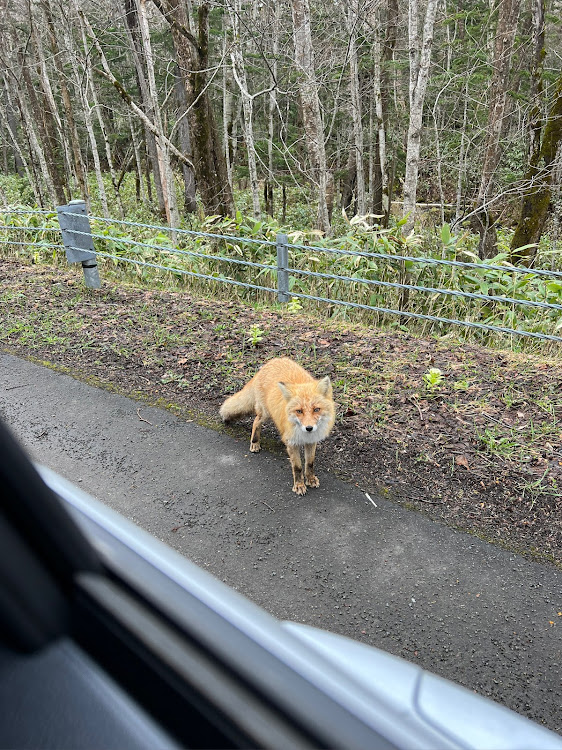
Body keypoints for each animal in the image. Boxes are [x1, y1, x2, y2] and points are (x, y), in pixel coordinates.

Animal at [218, 360, 332, 496]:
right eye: (299, 411)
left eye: (316, 409)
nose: (309, 428)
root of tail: (271, 361)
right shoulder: (292, 443)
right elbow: (297, 467)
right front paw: (299, 485)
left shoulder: (311, 441)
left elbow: (309, 464)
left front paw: (310, 479)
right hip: (265, 413)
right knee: (255, 422)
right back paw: (255, 443)